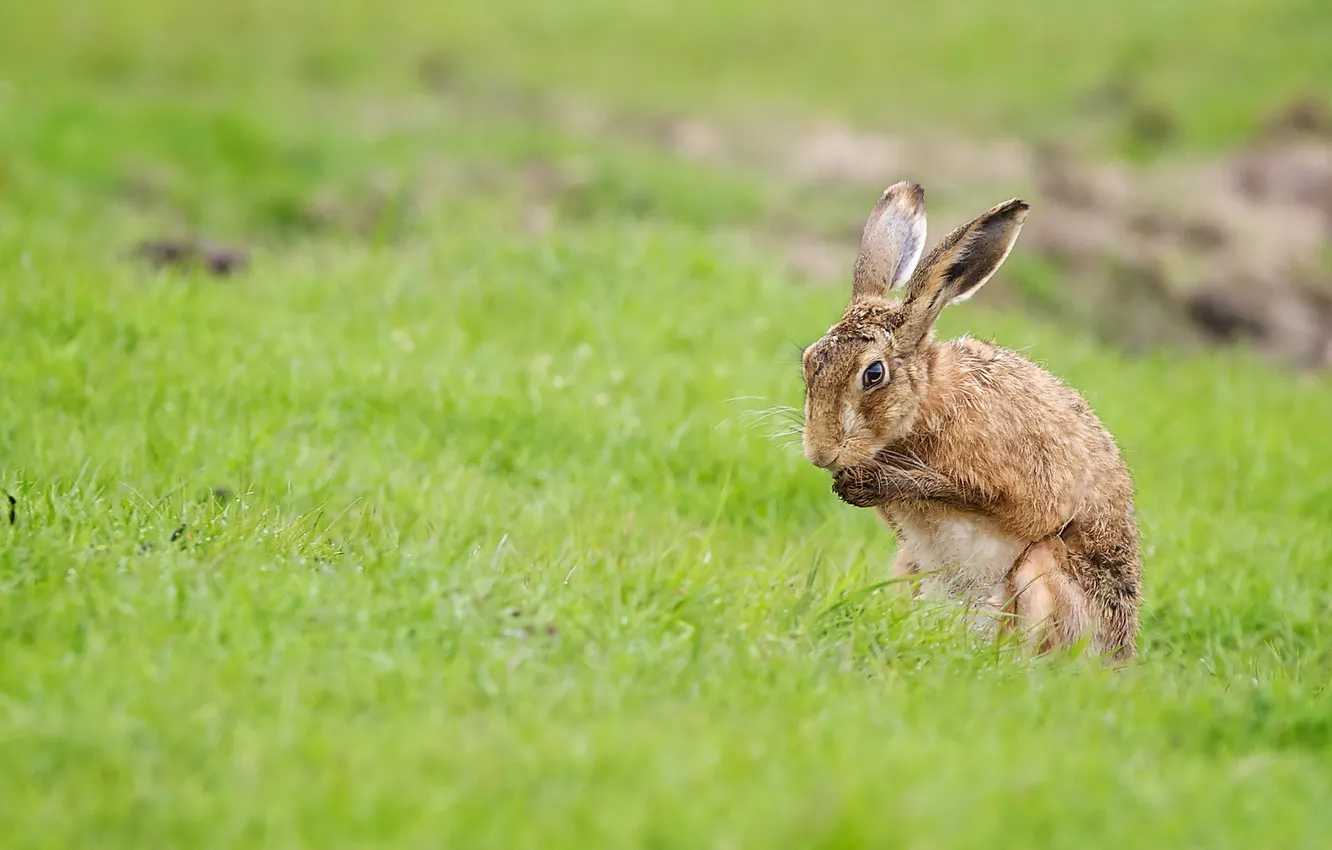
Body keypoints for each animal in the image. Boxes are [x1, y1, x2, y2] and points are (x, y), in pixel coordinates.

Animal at [800, 181, 1141, 663]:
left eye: (873, 374)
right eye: (810, 361)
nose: (819, 452)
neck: (928, 401)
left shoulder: (1017, 480)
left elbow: (971, 494)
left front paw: (875, 483)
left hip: (1043, 569)